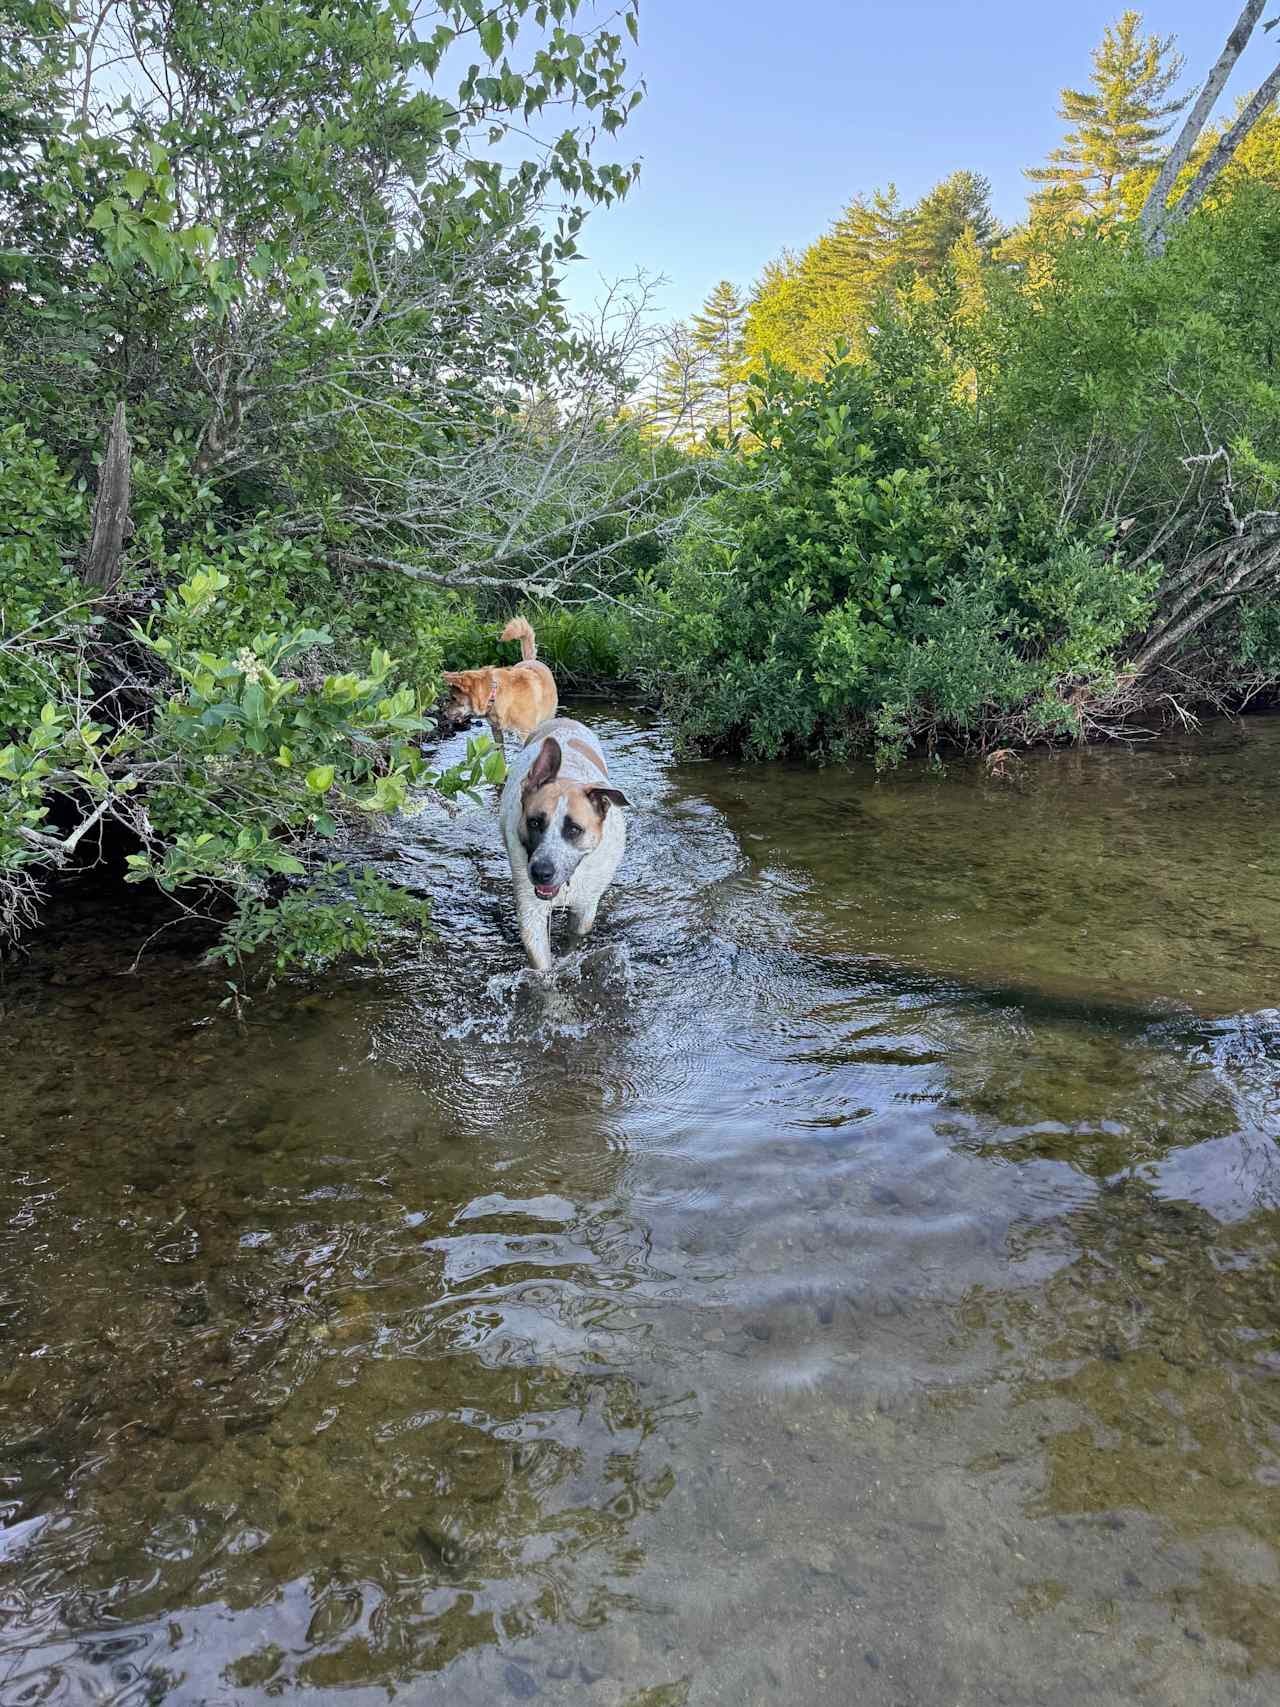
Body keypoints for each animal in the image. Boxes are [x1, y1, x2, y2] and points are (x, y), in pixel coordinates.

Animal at [443, 614, 559, 747]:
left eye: (453, 698)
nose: (444, 715)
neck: (494, 694)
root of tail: (531, 660)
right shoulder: (496, 730)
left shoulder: (526, 733)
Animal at [501, 713, 631, 969]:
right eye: (534, 823)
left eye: (574, 829)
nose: (541, 872)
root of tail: (564, 720)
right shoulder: (531, 911)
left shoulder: (585, 908)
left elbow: (575, 937)